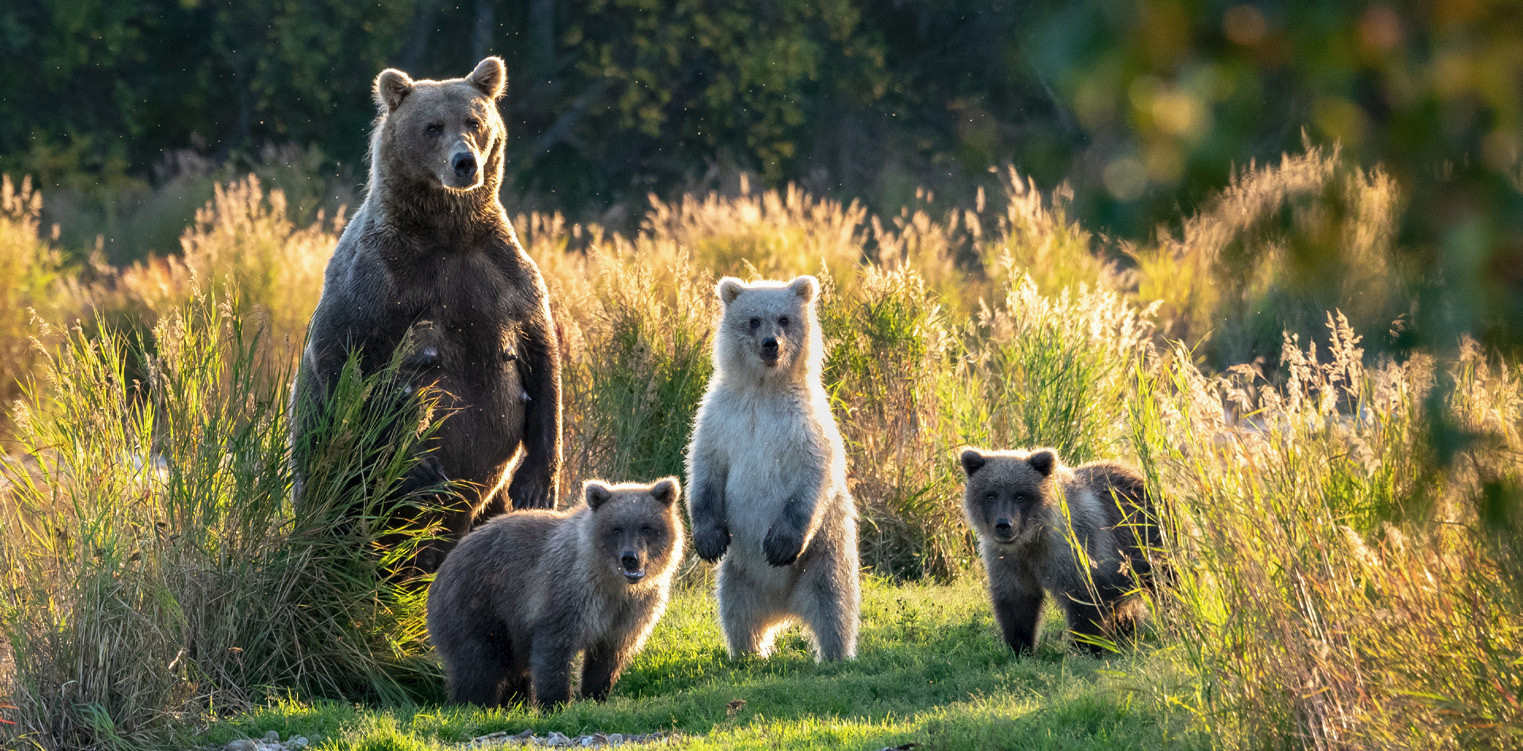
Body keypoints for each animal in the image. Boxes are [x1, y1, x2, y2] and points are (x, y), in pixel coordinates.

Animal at [290, 55, 560, 569]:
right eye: (432, 126)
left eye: (474, 121)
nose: (464, 162)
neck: (446, 232)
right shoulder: (378, 279)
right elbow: (345, 357)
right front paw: (419, 466)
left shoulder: (502, 273)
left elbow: (542, 355)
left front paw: (538, 482)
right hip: (332, 481)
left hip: (487, 507)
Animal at [429, 478, 691, 706]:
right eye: (616, 529)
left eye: (647, 528)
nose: (630, 558)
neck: (612, 583)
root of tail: (447, 562)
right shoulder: (568, 594)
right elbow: (554, 650)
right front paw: (555, 703)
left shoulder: (629, 612)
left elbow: (607, 658)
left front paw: (595, 696)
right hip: (477, 602)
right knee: (478, 662)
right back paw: (475, 704)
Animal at [688, 277, 865, 661]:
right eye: (754, 320)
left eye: (784, 319)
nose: (771, 344)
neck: (764, 389)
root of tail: (784, 608)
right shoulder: (721, 418)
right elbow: (705, 469)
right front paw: (708, 539)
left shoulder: (805, 424)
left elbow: (815, 474)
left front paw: (779, 544)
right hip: (739, 574)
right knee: (736, 612)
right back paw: (749, 653)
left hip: (824, 555)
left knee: (835, 605)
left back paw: (834, 655)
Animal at [956, 447, 1157, 651]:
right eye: (990, 495)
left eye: (1020, 495)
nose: (1004, 524)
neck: (1031, 540)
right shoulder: (1007, 559)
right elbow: (1017, 600)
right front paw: (1020, 647)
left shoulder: (1073, 549)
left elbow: (1084, 599)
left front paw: (1086, 647)